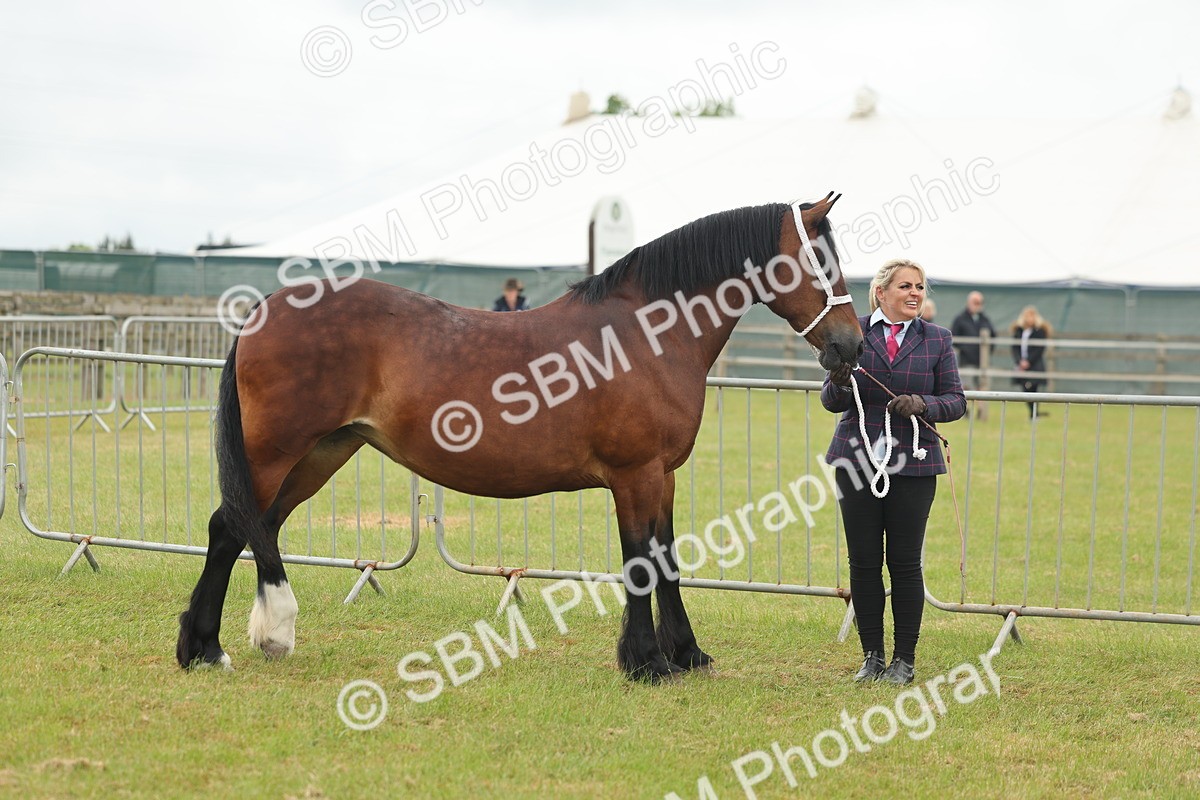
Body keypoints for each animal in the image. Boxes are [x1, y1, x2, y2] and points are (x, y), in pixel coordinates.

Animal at [176, 193, 864, 681]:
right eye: (819, 260)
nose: (852, 347)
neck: (644, 331)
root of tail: (266, 307)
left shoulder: (662, 476)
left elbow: (666, 558)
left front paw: (686, 655)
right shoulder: (635, 474)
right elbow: (641, 560)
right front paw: (646, 662)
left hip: (322, 453)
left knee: (253, 528)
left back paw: (209, 645)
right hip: (276, 453)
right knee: (228, 528)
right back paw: (207, 648)